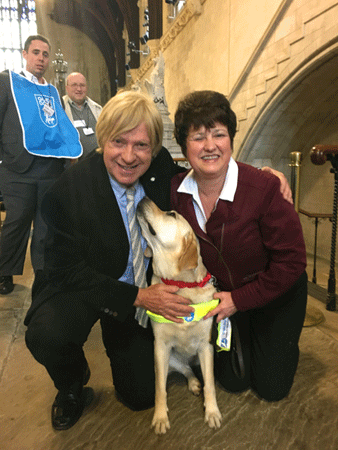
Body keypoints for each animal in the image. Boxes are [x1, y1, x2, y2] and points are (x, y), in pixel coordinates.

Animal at [137, 198, 222, 436]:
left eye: (171, 214)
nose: (143, 198)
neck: (180, 284)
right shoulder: (160, 346)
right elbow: (159, 387)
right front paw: (160, 416)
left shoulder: (206, 346)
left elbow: (210, 384)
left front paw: (212, 412)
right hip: (169, 357)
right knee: (185, 369)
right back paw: (193, 383)